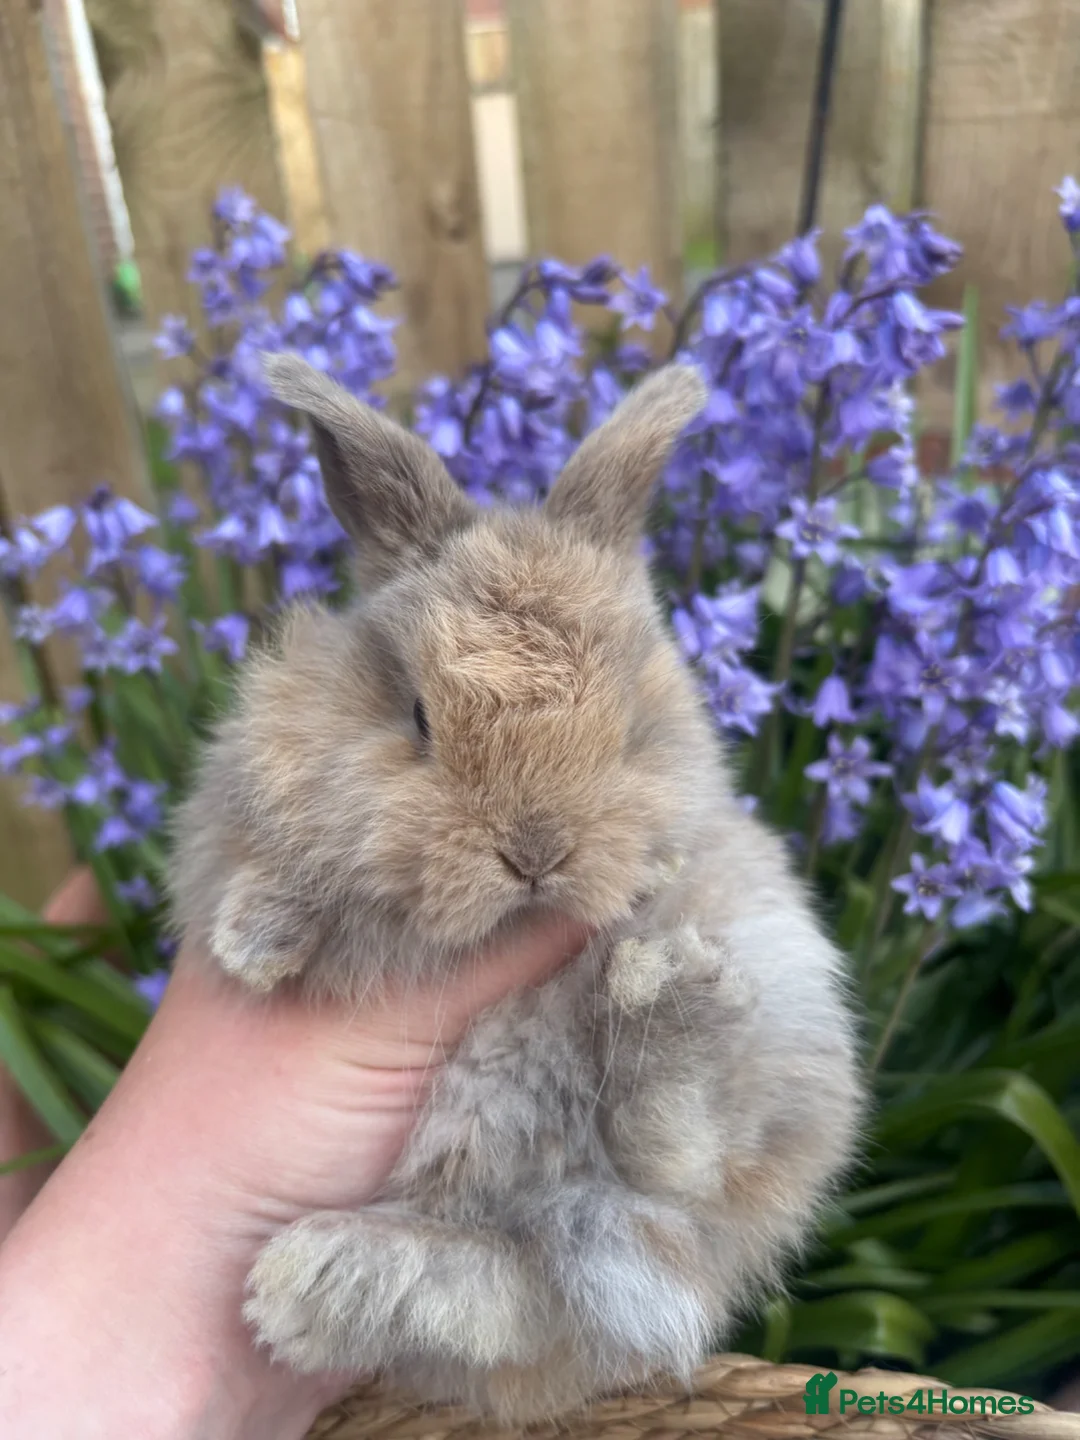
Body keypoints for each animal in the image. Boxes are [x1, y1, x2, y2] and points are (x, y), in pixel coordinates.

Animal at [169, 352, 863, 1423]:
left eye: (628, 727)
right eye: (417, 717)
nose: (537, 852)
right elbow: (278, 873)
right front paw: (256, 940)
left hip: (780, 1021)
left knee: (674, 1158)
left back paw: (668, 996)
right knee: (504, 1288)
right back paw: (313, 1289)